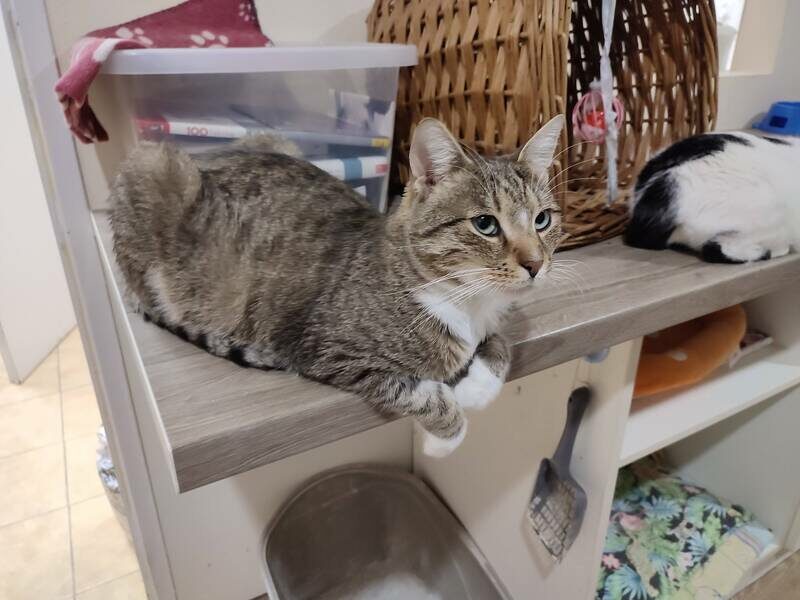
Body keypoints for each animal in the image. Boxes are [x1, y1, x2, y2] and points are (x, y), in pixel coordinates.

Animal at [111, 115, 565, 456]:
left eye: (542, 219)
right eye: (485, 224)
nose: (536, 265)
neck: (468, 304)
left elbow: (500, 346)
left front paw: (476, 388)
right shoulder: (332, 350)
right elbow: (422, 395)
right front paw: (443, 439)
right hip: (151, 167)